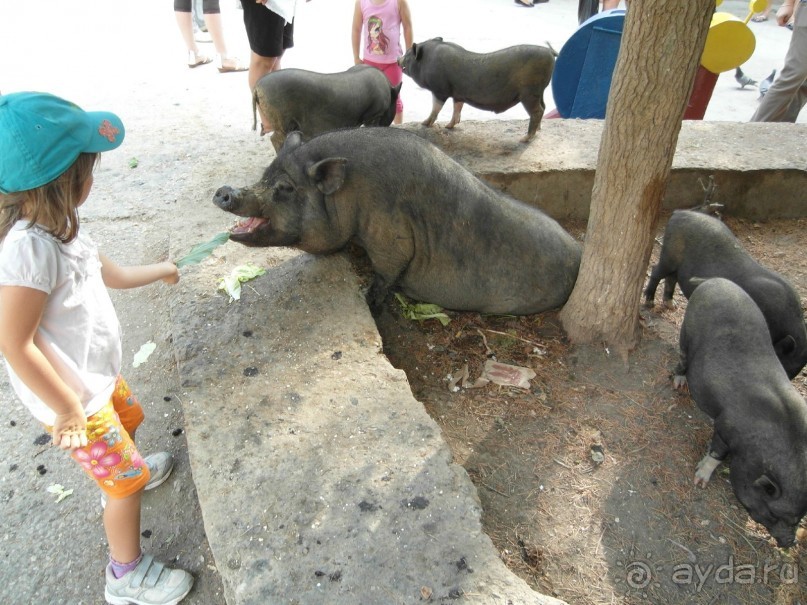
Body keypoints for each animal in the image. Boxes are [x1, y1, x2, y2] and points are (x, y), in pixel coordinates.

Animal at [213, 127, 580, 316]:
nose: (224, 191)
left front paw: (368, 300)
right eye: (264, 175)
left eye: (285, 188)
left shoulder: (389, 234)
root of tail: (579, 254)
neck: (351, 195)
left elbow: (387, 272)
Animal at [398, 36, 556, 143]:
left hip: (529, 93)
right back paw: (538, 130)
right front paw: (449, 126)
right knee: (544, 107)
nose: (398, 59)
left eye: (408, 54)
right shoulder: (458, 94)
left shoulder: (440, 90)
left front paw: (424, 123)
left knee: (537, 111)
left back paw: (524, 139)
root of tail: (549, 52)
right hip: (539, 92)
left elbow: (436, 108)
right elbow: (457, 108)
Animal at [644, 209, 807, 378]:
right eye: (783, 363)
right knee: (656, 272)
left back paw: (672, 305)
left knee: (671, 278)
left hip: (676, 265)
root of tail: (680, 213)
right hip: (669, 255)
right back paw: (649, 302)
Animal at [676, 278, 807, 548]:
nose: (790, 542)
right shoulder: (726, 425)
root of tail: (713, 281)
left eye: (800, 517)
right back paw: (679, 383)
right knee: (682, 356)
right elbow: (717, 452)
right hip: (686, 331)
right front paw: (699, 481)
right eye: (774, 512)